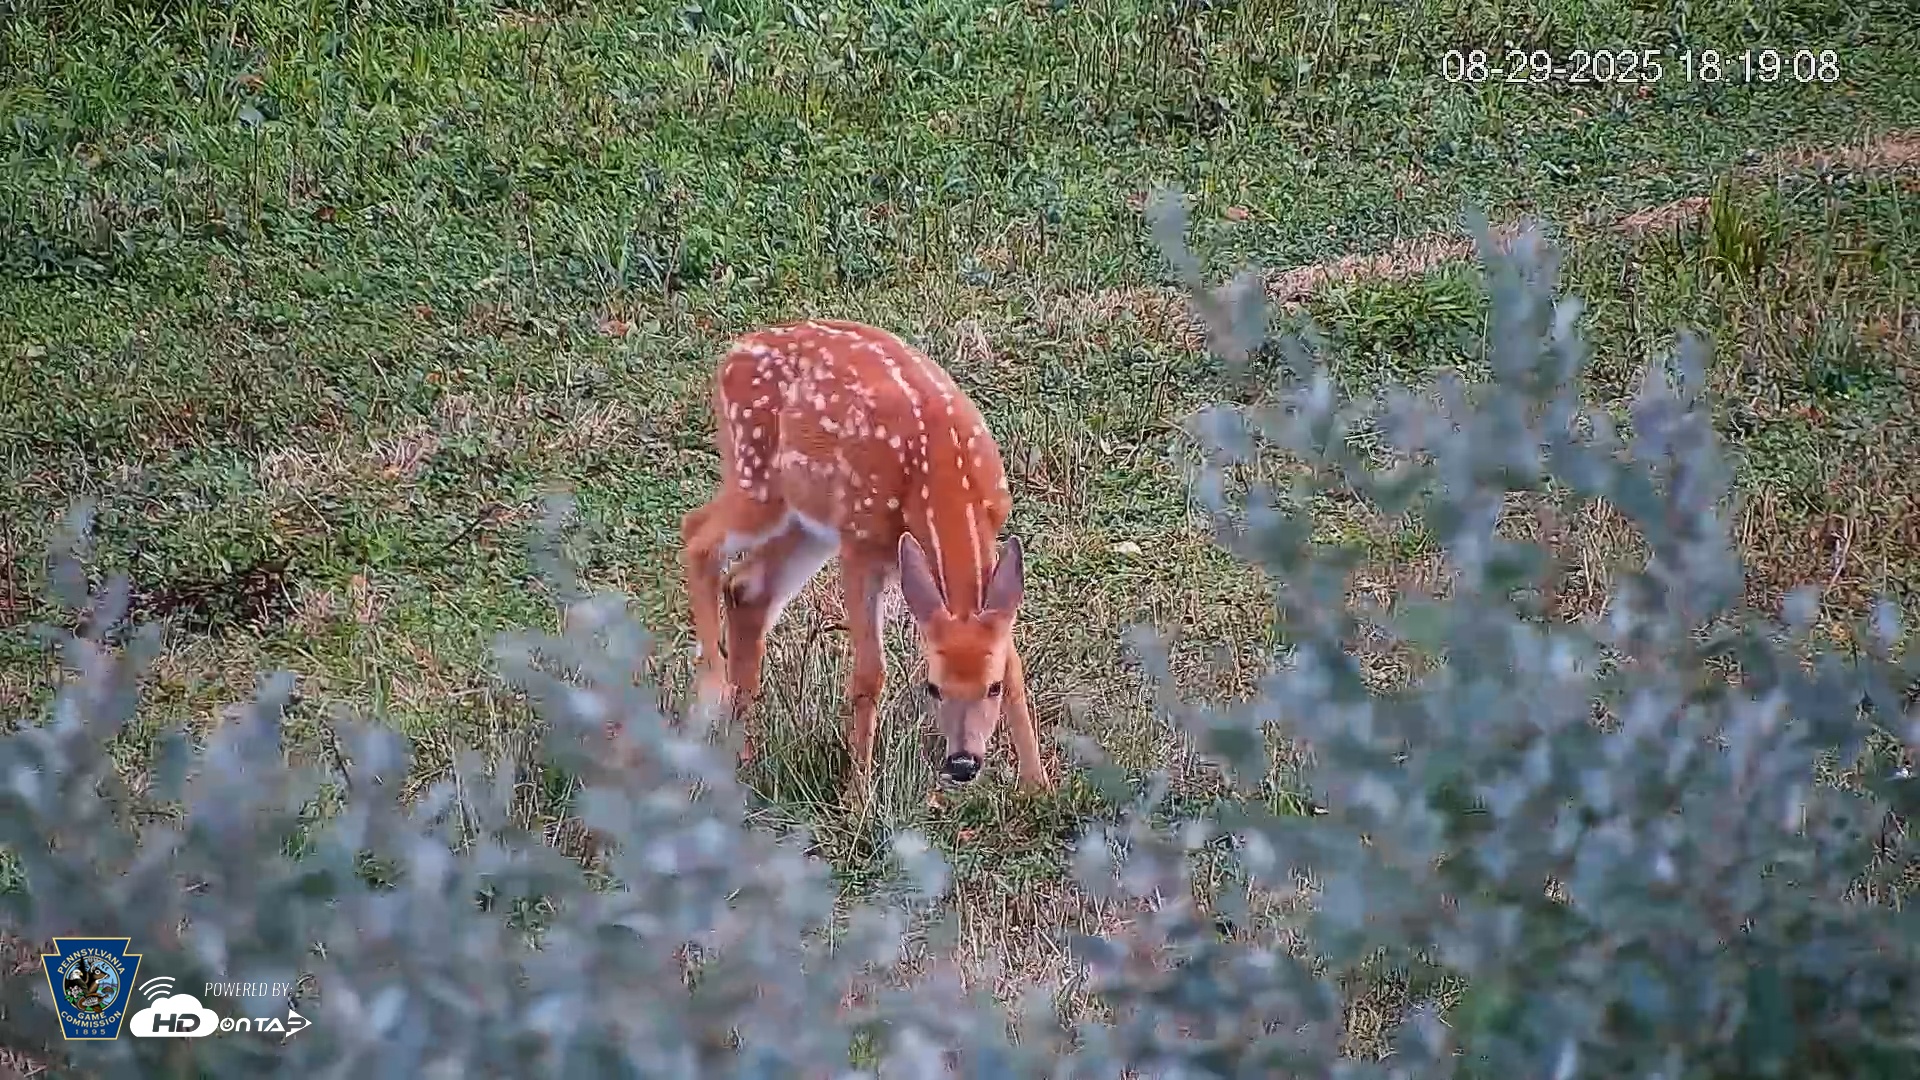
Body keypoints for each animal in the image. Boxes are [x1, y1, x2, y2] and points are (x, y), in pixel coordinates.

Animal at [679, 318, 1051, 799]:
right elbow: (870, 674)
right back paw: (712, 685)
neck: (942, 483)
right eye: (932, 687)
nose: (963, 763)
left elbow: (1015, 662)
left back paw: (741, 751)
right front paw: (858, 796)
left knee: (746, 586)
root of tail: (732, 354)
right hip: (757, 478)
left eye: (992, 687)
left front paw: (1039, 785)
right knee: (696, 532)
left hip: (808, 523)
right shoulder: (859, 545)